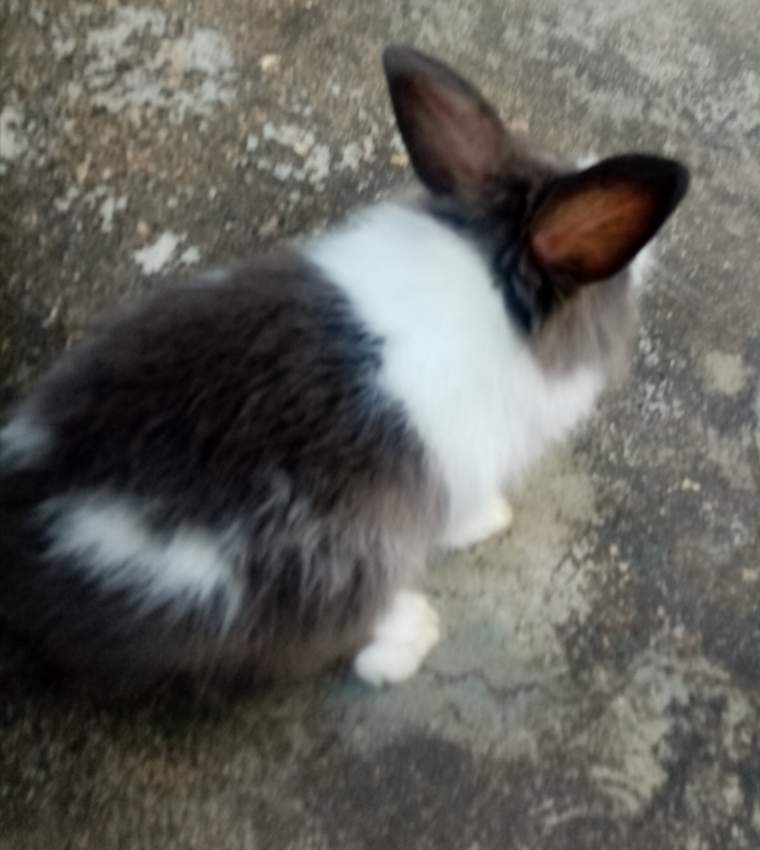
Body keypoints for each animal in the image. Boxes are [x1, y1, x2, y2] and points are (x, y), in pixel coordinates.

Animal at [0, 45, 689, 694]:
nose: (651, 266)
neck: (490, 277)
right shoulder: (464, 465)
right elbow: (463, 511)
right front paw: (492, 519)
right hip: (322, 569)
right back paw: (411, 636)